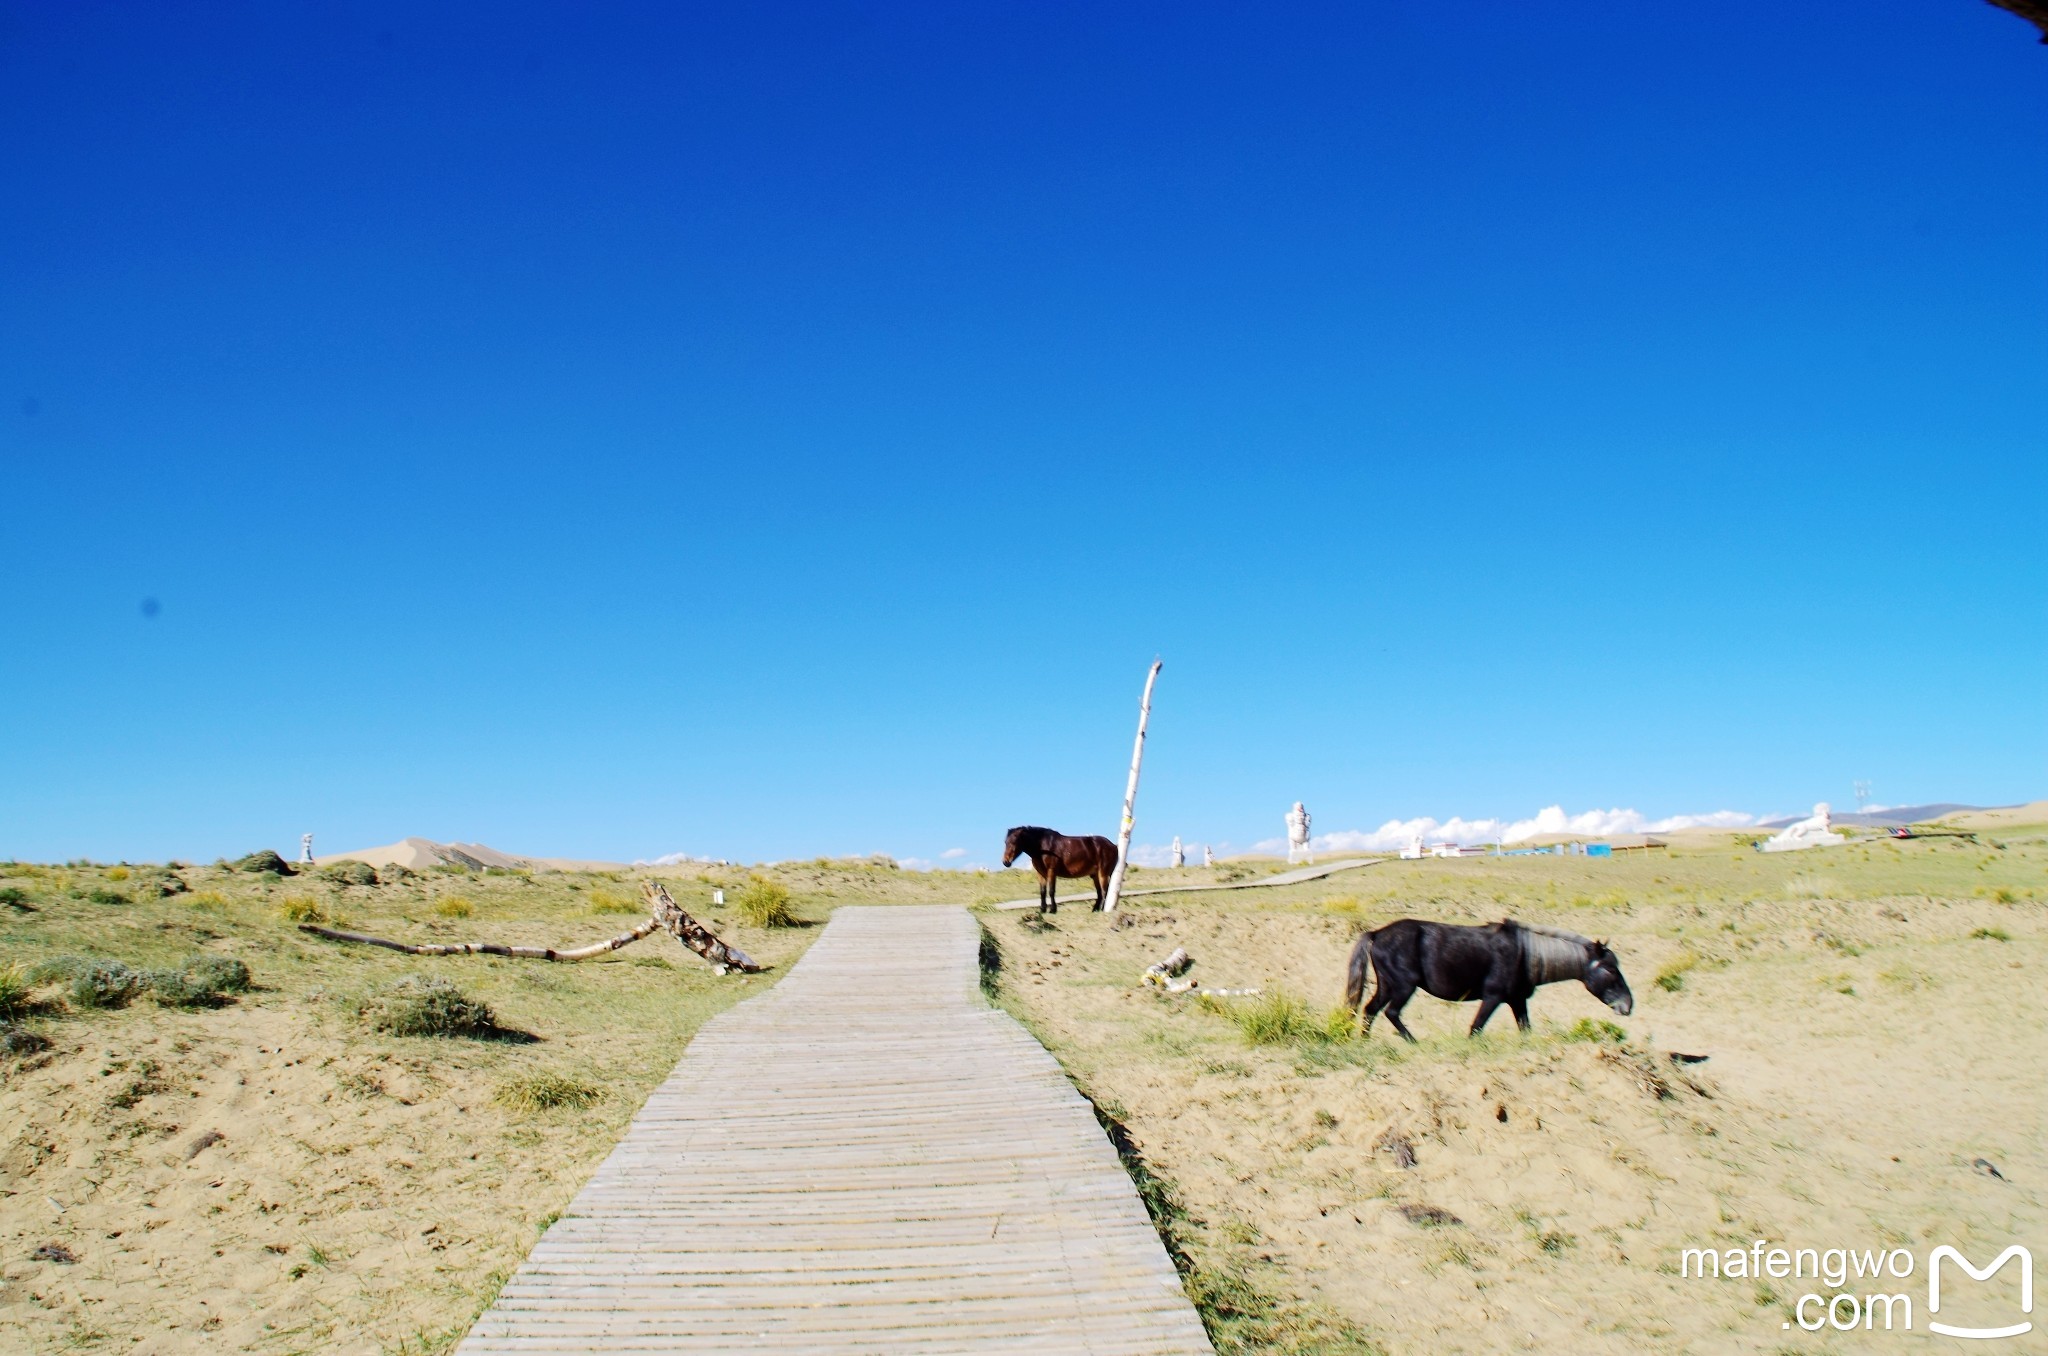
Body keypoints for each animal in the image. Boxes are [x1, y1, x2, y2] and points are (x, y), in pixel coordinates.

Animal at [1343, 917, 1630, 1044]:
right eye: (1610, 970)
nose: (1627, 1006)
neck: (1525, 954)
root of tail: (1376, 934)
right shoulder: (1493, 997)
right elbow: (1476, 1028)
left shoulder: (1517, 1000)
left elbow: (1525, 1029)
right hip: (1403, 986)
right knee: (1390, 1012)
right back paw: (1412, 1042)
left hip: (1388, 985)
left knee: (1370, 1010)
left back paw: (1365, 1041)